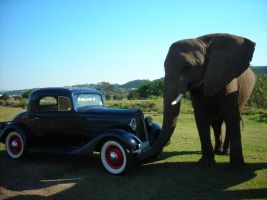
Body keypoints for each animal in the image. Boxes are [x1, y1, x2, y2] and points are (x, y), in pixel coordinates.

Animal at [141, 33, 256, 170]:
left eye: (187, 67)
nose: (137, 153)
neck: (204, 43)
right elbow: (201, 116)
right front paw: (205, 164)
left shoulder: (228, 76)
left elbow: (231, 114)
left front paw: (236, 169)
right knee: (216, 123)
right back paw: (218, 151)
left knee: (231, 118)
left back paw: (225, 153)